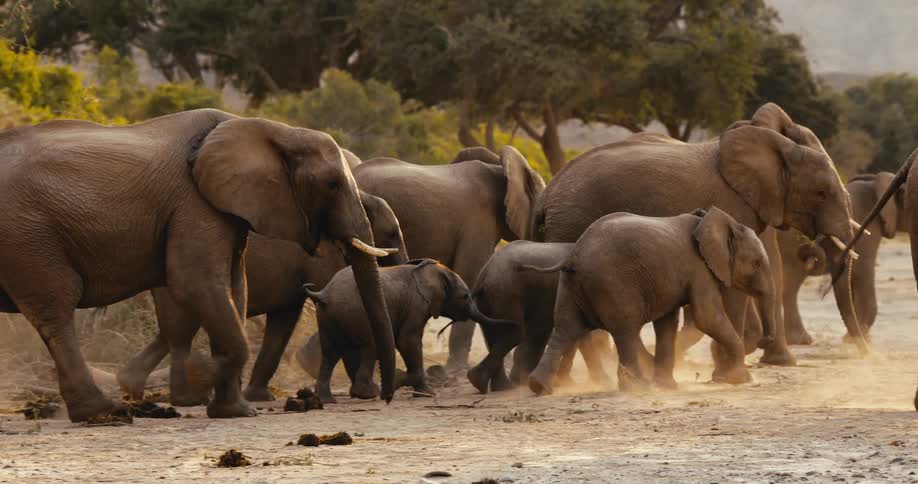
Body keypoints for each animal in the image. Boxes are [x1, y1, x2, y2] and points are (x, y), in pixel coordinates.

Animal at [116, 190, 408, 405]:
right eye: (391, 233)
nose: (386, 397)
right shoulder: (321, 257)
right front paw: (366, 393)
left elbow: (284, 321)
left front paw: (259, 397)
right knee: (181, 330)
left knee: (173, 330)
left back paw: (132, 386)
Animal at [304, 259, 515, 403]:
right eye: (465, 296)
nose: (512, 324)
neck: (431, 271)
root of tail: (324, 294)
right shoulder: (417, 304)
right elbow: (408, 341)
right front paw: (424, 392)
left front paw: (419, 391)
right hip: (357, 313)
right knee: (369, 346)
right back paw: (367, 394)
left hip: (327, 317)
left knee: (330, 353)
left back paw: (326, 400)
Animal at [526, 208, 777, 395]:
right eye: (756, 263)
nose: (765, 340)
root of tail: (574, 255)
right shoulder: (700, 269)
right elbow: (707, 317)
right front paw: (740, 379)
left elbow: (667, 322)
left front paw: (668, 387)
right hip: (613, 283)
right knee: (625, 330)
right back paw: (638, 387)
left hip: (570, 285)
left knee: (565, 327)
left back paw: (539, 387)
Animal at [532, 103, 857, 380]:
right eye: (822, 193)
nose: (862, 350)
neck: (771, 140)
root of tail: (546, 196)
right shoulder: (736, 202)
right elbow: (740, 282)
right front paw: (731, 372)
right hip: (572, 224)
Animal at [779, 171, 907, 345]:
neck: (874, 181)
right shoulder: (869, 224)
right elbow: (862, 271)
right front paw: (857, 337)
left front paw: (855, 337)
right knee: (790, 285)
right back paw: (802, 340)